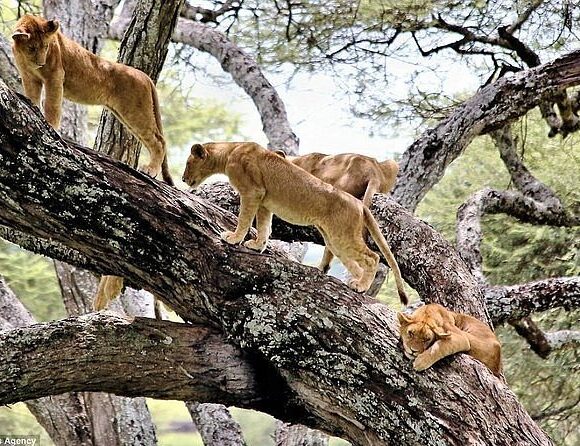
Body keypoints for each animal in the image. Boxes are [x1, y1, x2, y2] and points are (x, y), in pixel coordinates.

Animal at [11, 13, 172, 185]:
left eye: (46, 47)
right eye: (32, 48)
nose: (41, 63)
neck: (25, 57)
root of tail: (144, 75)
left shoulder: (55, 76)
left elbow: (51, 105)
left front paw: (51, 127)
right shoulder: (29, 77)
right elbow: (33, 97)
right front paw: (33, 110)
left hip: (136, 111)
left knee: (159, 141)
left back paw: (150, 170)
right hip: (126, 114)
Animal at [181, 143, 408, 304]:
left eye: (188, 163)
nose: (182, 179)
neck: (229, 151)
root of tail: (359, 204)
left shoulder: (252, 191)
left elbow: (244, 218)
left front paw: (234, 238)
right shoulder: (264, 201)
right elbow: (263, 226)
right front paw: (257, 245)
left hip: (342, 236)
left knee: (373, 257)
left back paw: (361, 286)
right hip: (334, 239)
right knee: (354, 262)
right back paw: (357, 283)